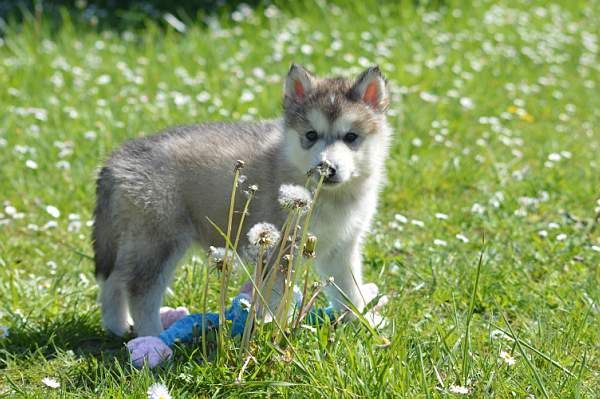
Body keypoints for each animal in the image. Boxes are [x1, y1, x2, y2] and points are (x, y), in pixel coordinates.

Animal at [92, 63, 394, 338]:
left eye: (351, 137)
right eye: (311, 135)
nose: (327, 167)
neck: (330, 196)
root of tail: (116, 160)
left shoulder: (342, 247)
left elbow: (349, 288)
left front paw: (363, 322)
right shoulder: (279, 250)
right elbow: (275, 297)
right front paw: (270, 330)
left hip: (135, 241)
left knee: (113, 280)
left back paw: (118, 327)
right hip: (159, 242)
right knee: (140, 290)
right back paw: (153, 337)